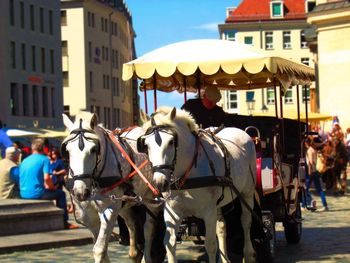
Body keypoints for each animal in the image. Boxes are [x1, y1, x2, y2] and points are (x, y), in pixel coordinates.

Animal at [61, 112, 165, 263]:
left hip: (151, 199)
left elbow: (99, 249)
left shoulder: (109, 210)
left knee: (149, 228)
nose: (80, 192)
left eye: (93, 149)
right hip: (125, 203)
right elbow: (101, 248)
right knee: (131, 222)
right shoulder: (88, 215)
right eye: (67, 150)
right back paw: (134, 253)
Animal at [139, 107, 258, 263]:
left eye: (171, 142)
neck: (187, 173)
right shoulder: (172, 211)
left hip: (247, 193)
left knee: (246, 221)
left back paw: (249, 253)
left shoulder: (208, 211)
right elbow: (169, 243)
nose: (160, 183)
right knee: (221, 227)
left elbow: (211, 244)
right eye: (146, 145)